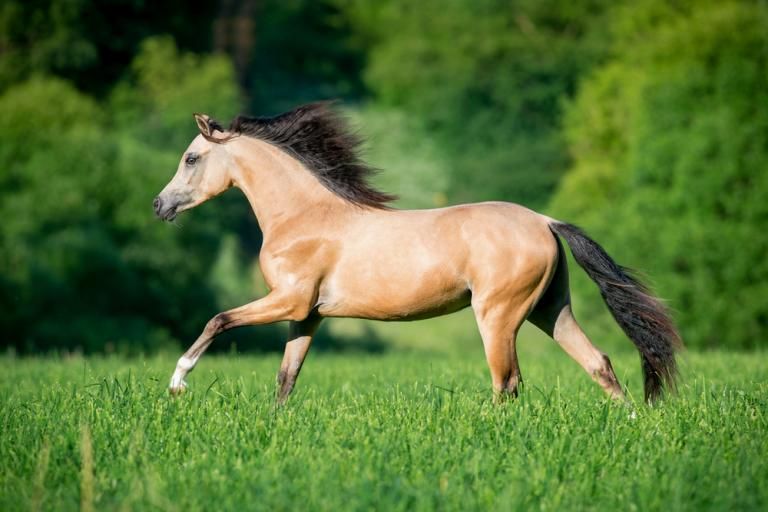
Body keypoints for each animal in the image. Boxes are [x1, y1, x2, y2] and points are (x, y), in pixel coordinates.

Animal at [154, 103, 681, 404]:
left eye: (191, 158)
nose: (160, 205)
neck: (304, 216)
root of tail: (544, 221)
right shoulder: (307, 314)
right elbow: (286, 379)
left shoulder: (288, 300)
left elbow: (218, 320)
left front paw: (178, 383)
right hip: (550, 310)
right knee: (599, 364)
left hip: (498, 315)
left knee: (507, 383)